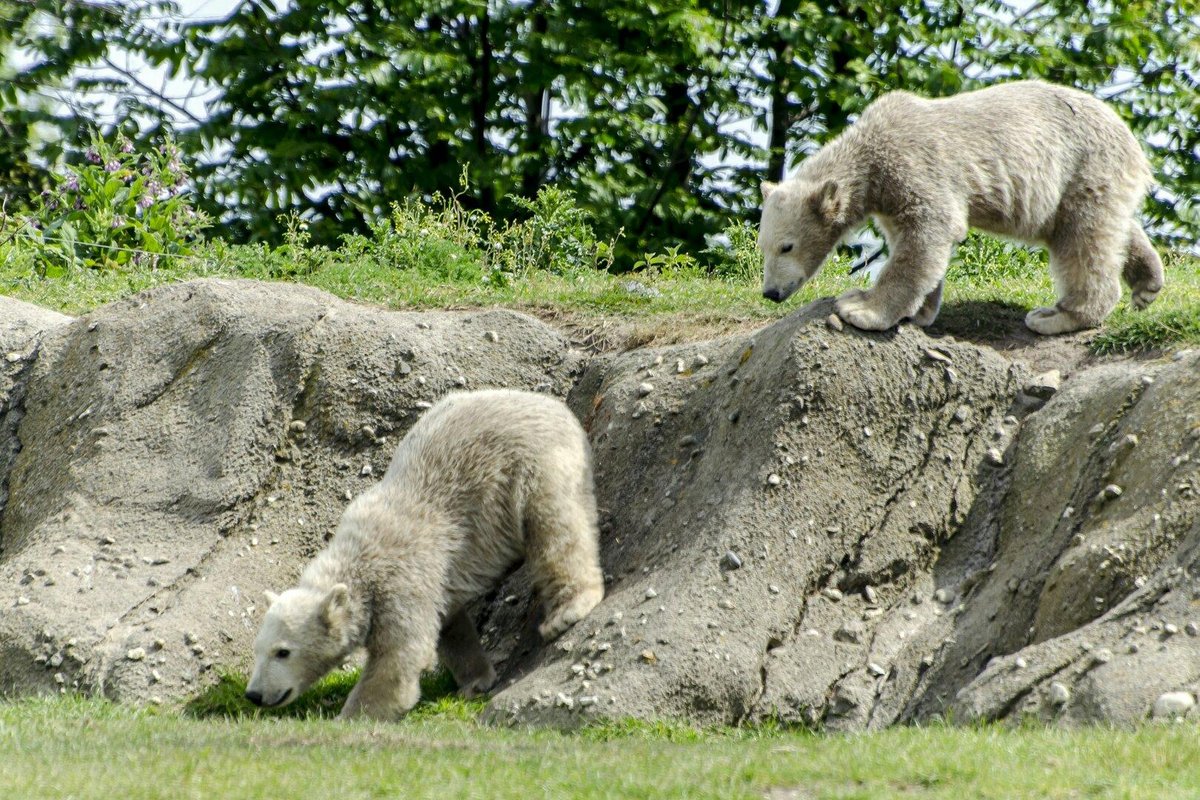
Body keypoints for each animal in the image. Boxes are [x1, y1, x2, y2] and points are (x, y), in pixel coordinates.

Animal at [243, 391, 604, 724]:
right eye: (258, 648)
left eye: (283, 652)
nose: (254, 694)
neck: (358, 559)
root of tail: (553, 405)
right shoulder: (431, 583)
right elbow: (450, 626)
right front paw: (476, 680)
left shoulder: (399, 581)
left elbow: (400, 657)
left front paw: (348, 719)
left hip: (532, 465)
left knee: (556, 528)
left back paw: (567, 611)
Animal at [758, 79, 1161, 335]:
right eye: (764, 247)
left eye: (786, 246)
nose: (770, 293)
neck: (870, 151)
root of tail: (1132, 141)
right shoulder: (890, 196)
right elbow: (915, 242)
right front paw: (920, 311)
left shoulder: (914, 165)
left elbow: (927, 232)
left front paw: (861, 308)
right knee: (1104, 225)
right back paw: (1147, 283)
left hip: (1083, 164)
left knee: (1081, 236)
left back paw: (1058, 316)